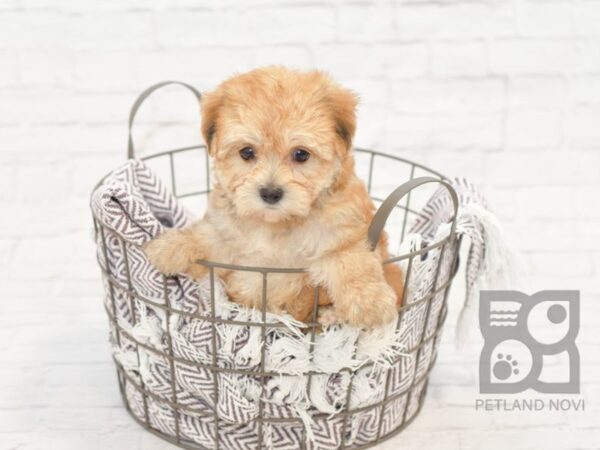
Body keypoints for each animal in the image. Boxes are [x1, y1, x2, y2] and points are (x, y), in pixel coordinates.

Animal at [144, 67, 404, 326]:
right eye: (247, 152)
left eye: (301, 154)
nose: (270, 193)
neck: (276, 224)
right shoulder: (228, 240)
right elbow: (206, 236)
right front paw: (169, 246)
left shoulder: (342, 233)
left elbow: (351, 261)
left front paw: (370, 302)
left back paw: (331, 315)